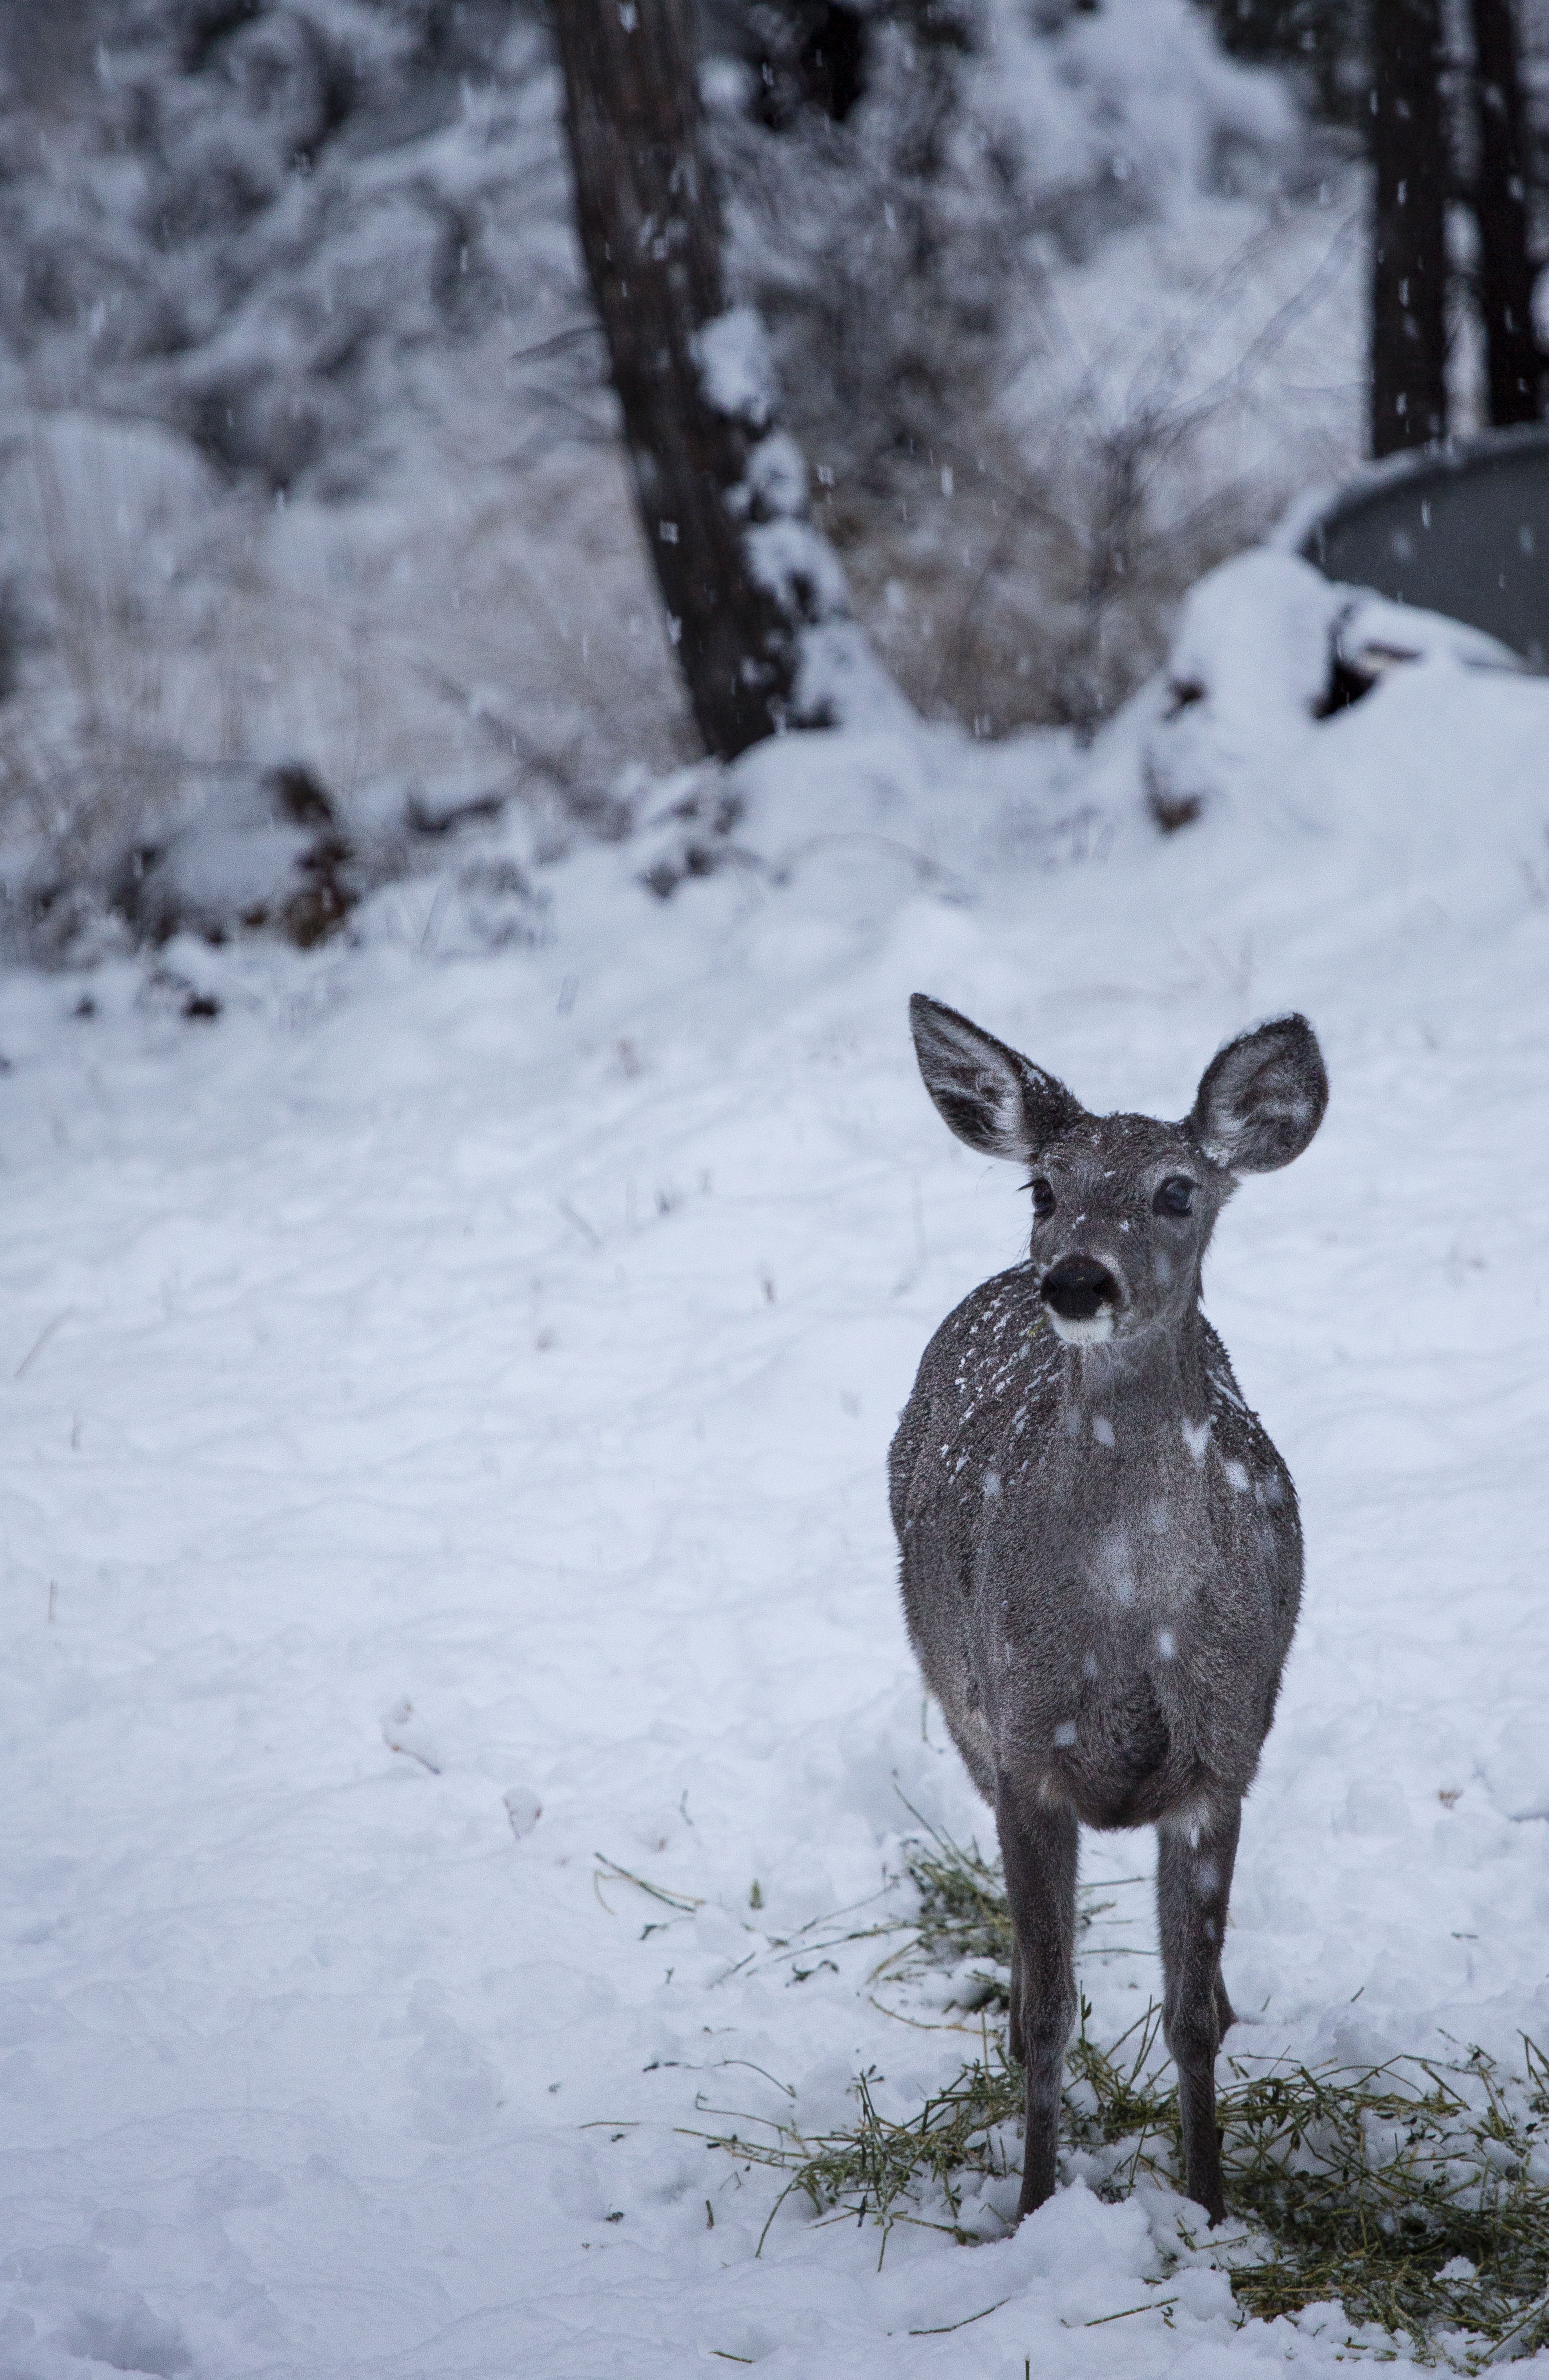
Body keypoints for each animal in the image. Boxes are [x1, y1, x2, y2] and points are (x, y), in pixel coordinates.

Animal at [890, 996, 1328, 2226]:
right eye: (1044, 1186)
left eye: (1176, 1190)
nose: (1077, 1280)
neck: (1133, 1621)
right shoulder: (1026, 1748)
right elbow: (1046, 2014)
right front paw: (1035, 2208)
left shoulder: (1223, 1754)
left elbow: (1191, 2019)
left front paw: (1213, 2209)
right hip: (958, 1702)